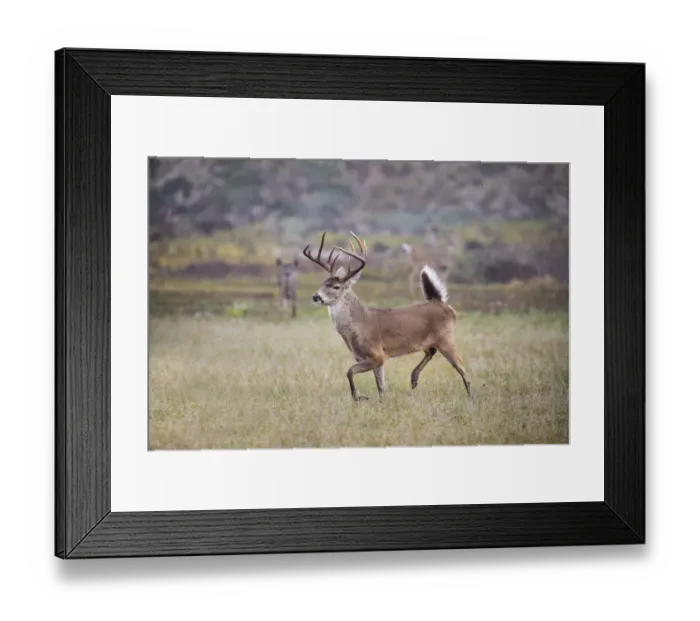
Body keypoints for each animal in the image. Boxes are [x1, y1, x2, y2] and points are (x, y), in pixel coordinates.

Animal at [303, 231, 472, 402]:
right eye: (323, 283)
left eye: (336, 287)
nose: (316, 296)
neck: (358, 325)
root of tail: (441, 303)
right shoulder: (373, 359)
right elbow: (381, 388)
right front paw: (380, 402)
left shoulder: (377, 355)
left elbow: (350, 371)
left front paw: (358, 397)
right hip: (430, 341)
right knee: (431, 352)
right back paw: (414, 378)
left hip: (446, 338)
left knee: (462, 368)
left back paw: (470, 398)